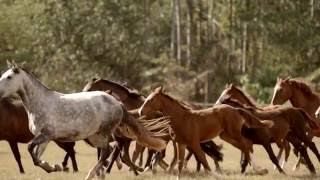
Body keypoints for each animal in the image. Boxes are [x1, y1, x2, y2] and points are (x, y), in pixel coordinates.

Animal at [0, 62, 165, 180]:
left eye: (9, 77)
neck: (40, 104)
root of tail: (117, 103)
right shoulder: (45, 138)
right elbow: (37, 157)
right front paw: (53, 167)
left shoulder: (46, 135)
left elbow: (30, 149)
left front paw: (56, 167)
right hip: (94, 136)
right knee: (108, 151)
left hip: (103, 133)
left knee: (106, 152)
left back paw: (91, 175)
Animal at [139, 87, 272, 176]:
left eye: (151, 100)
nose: (140, 111)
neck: (181, 118)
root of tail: (236, 109)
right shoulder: (181, 144)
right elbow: (180, 163)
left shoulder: (194, 143)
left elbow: (203, 160)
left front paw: (216, 175)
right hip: (225, 136)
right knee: (244, 146)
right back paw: (258, 169)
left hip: (233, 133)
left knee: (246, 144)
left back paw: (259, 169)